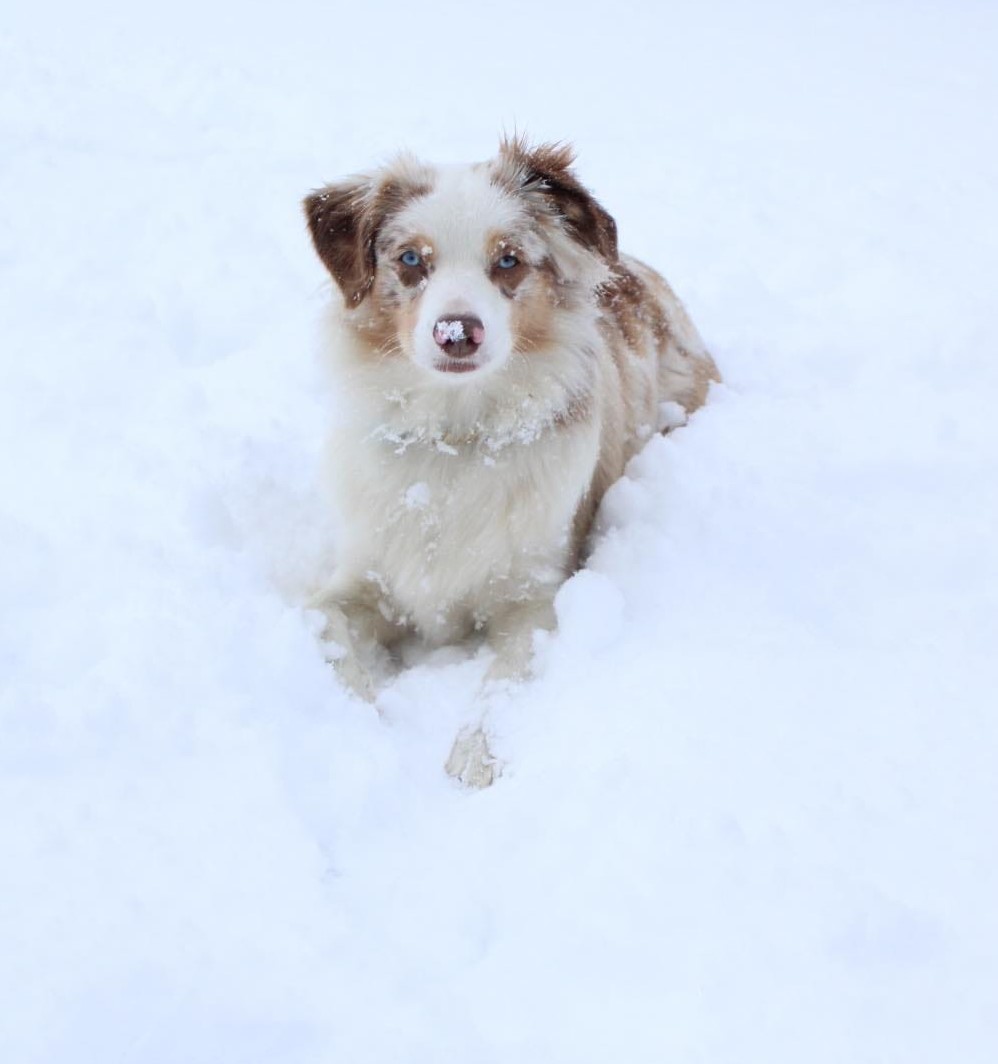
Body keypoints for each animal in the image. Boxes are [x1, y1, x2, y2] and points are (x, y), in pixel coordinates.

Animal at [304, 137, 714, 787]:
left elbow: (503, 682)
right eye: (411, 259)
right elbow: (329, 633)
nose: (455, 332)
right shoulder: (355, 583)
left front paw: (472, 759)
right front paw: (358, 732)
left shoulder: (534, 599)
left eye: (508, 260)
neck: (456, 436)